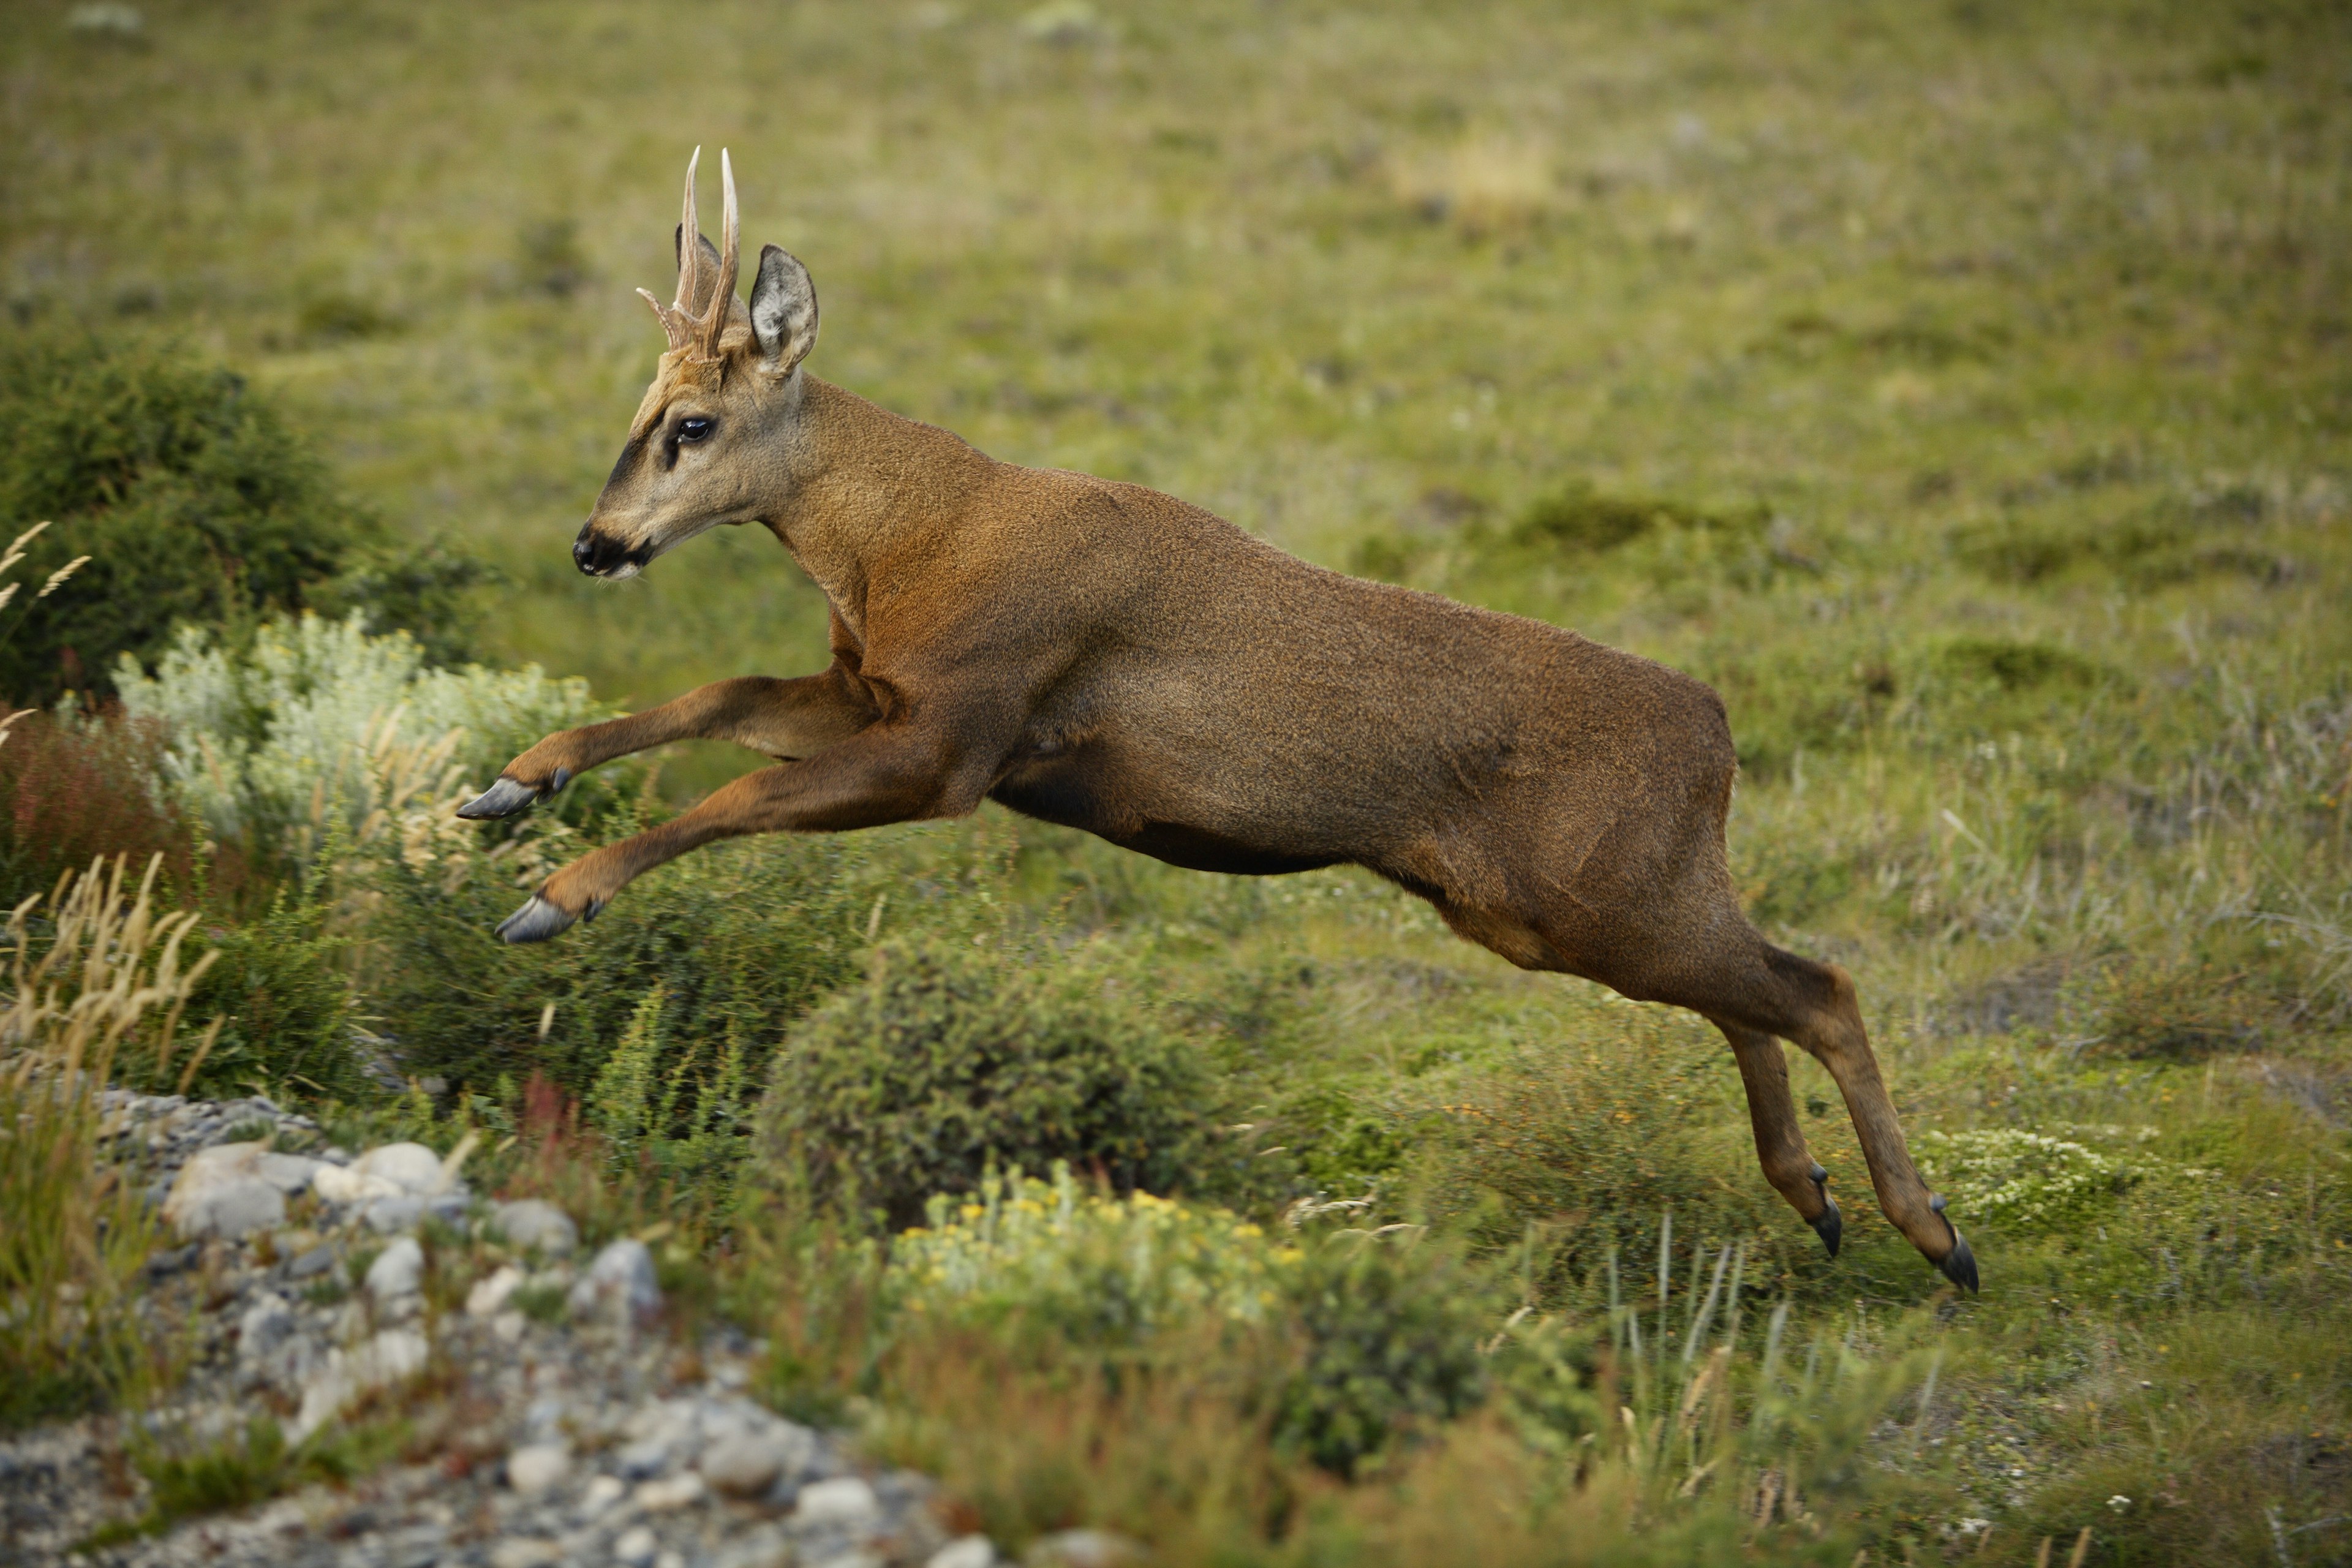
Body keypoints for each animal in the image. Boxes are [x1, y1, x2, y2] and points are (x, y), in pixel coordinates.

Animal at [458, 146, 1985, 1297]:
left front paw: (555, 895)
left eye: (694, 425)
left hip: (1593, 893)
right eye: (641, 407)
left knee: (1818, 983)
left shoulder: (959, 737)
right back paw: (1820, 1196)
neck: (910, 542)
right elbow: (715, 700)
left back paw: (1935, 1233)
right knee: (1757, 991)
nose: (594, 544)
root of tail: (1717, 730)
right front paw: (512, 783)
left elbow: (730, 796)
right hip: (1585, 904)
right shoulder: (874, 689)